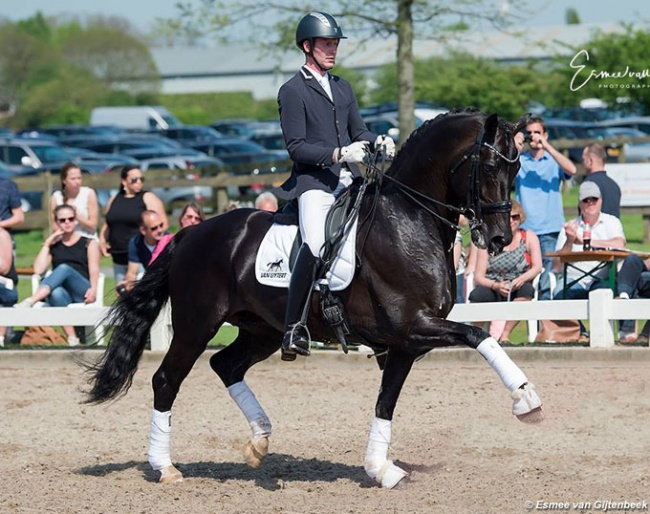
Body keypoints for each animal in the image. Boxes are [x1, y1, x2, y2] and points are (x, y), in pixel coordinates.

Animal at [86, 109, 540, 488]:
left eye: (517, 166)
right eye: (491, 165)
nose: (499, 239)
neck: (409, 222)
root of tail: (190, 233)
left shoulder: (404, 343)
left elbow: (386, 401)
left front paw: (381, 469)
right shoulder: (414, 327)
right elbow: (480, 336)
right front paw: (526, 399)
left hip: (262, 331)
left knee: (225, 365)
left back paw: (259, 442)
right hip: (197, 325)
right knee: (167, 380)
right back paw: (165, 467)